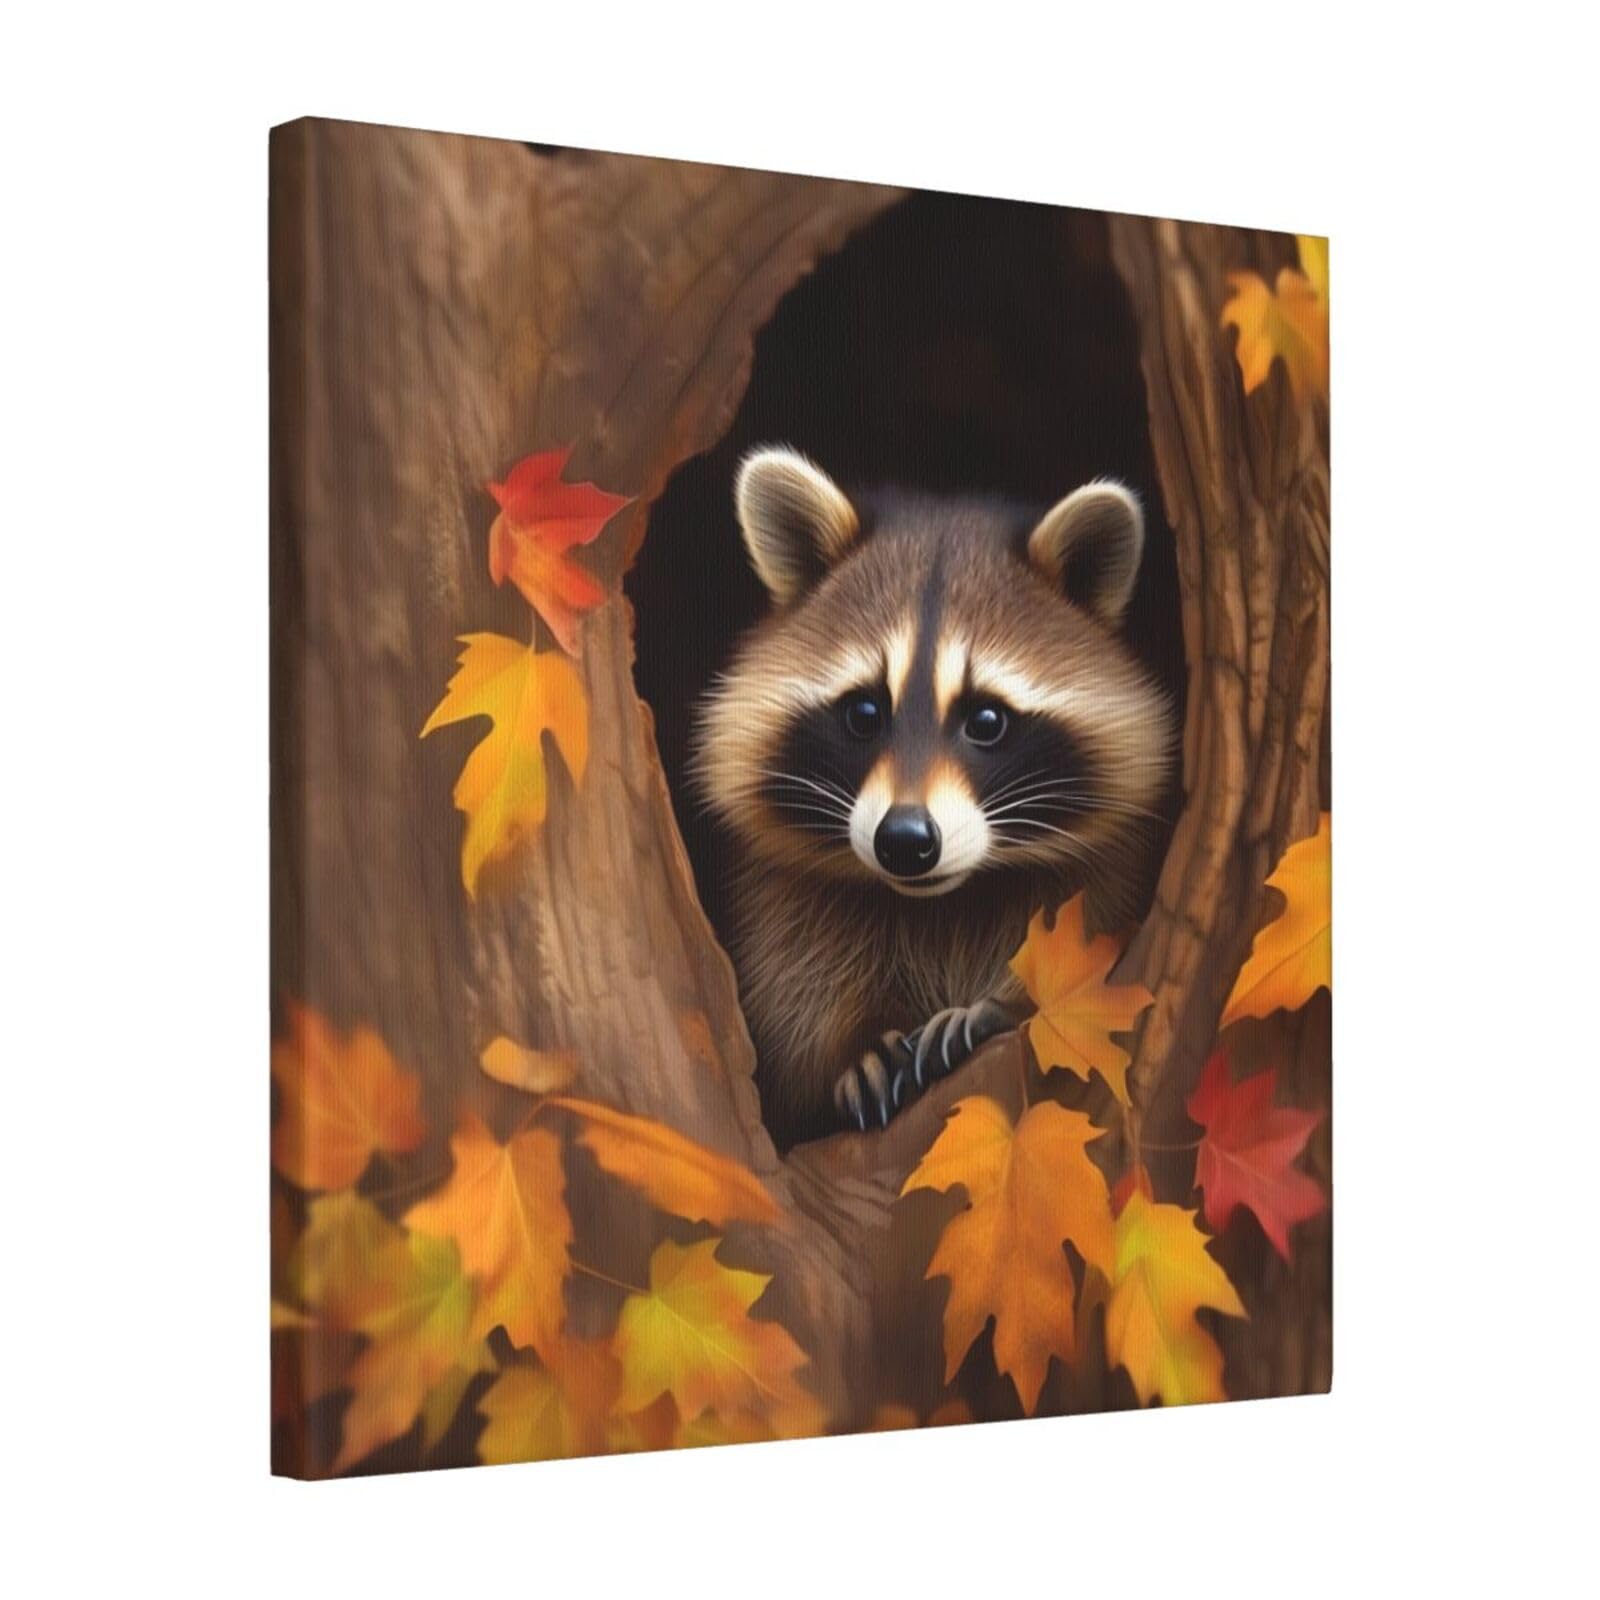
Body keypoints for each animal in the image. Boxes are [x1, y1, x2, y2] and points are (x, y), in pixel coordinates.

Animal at [694, 446, 1174, 1148]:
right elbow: (794, 994)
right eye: (865, 711)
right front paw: (852, 1046)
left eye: (987, 720)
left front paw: (1000, 1006)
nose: (905, 841)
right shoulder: (782, 897)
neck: (940, 901)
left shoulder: (1111, 870)